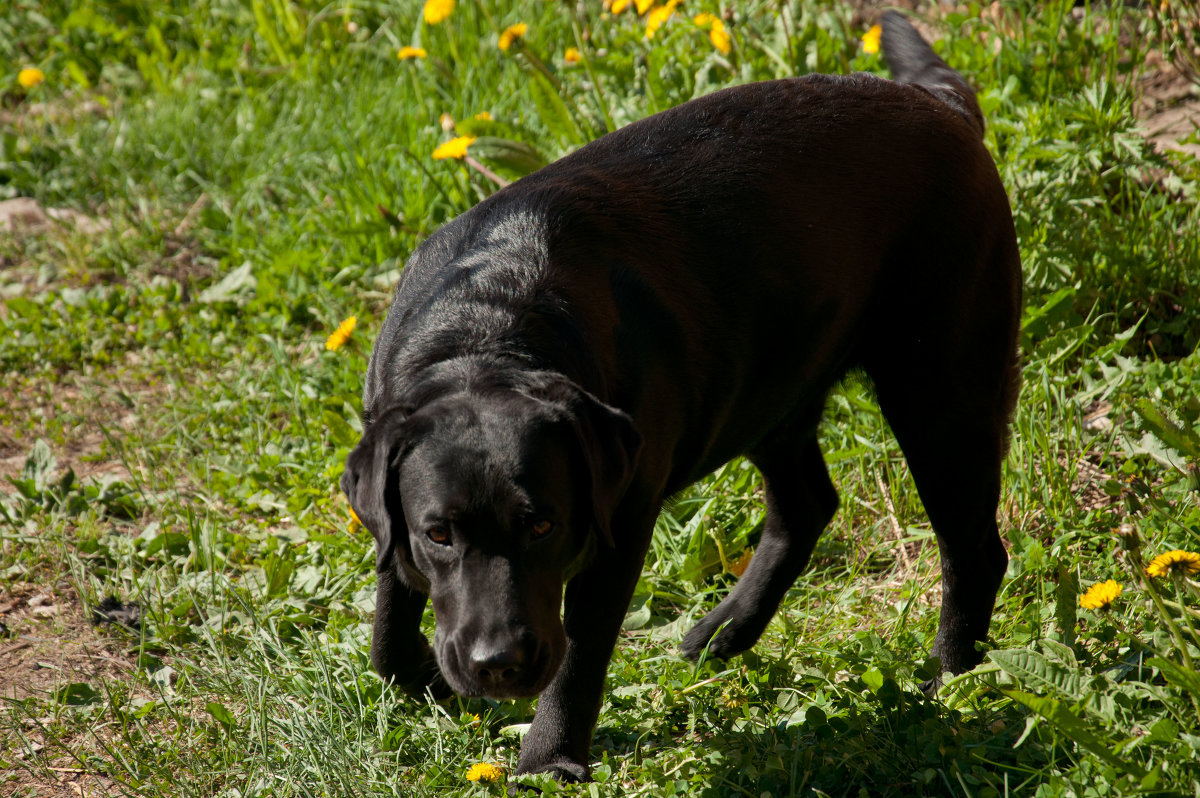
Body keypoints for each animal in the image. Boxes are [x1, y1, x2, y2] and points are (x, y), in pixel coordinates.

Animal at [343, 12, 1017, 782]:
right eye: (438, 534)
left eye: (543, 525)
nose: (500, 665)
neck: (489, 329)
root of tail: (945, 106)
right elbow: (389, 608)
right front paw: (420, 679)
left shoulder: (620, 521)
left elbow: (580, 652)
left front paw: (548, 759)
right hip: (771, 389)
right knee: (808, 505)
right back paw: (722, 633)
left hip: (941, 388)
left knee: (972, 551)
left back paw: (946, 680)